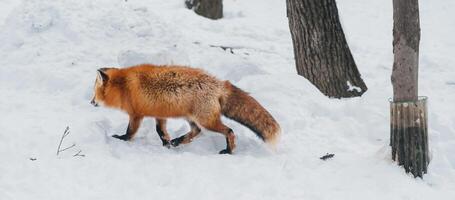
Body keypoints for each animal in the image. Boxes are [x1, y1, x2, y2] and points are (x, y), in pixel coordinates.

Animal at [91, 63, 280, 153]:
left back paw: (229, 150)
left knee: (229, 131)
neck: (123, 87)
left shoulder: (136, 115)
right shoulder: (160, 115)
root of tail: (219, 84)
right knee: (196, 131)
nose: (91, 102)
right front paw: (167, 143)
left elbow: (130, 131)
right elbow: (161, 132)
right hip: (191, 118)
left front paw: (122, 139)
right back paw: (178, 141)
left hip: (206, 121)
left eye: (94, 93)